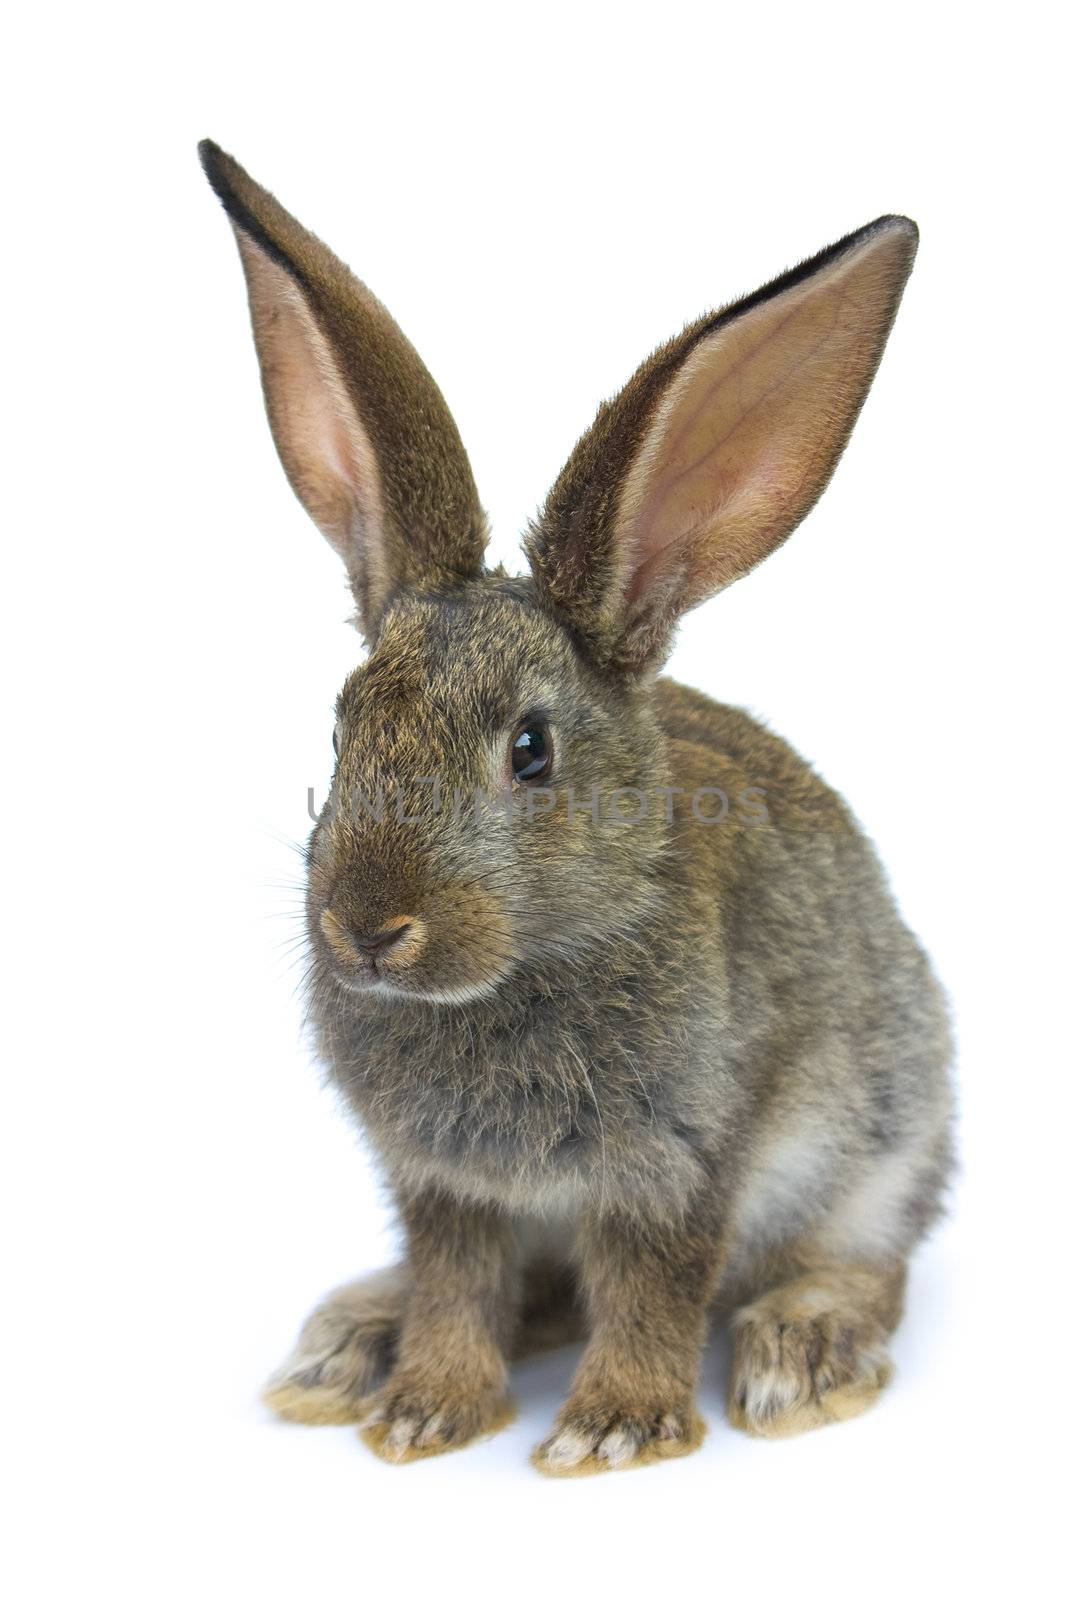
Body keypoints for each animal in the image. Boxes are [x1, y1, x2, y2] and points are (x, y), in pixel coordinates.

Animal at [204, 140, 953, 1472]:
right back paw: (350, 1347)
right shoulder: (445, 1186)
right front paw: (425, 1409)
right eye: (341, 729)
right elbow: (458, 1284)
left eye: (530, 750)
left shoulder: (679, 1163)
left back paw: (801, 1353)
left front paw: (611, 1431)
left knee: (866, 1260)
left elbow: (653, 1285)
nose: (367, 926)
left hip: (882, 1131)